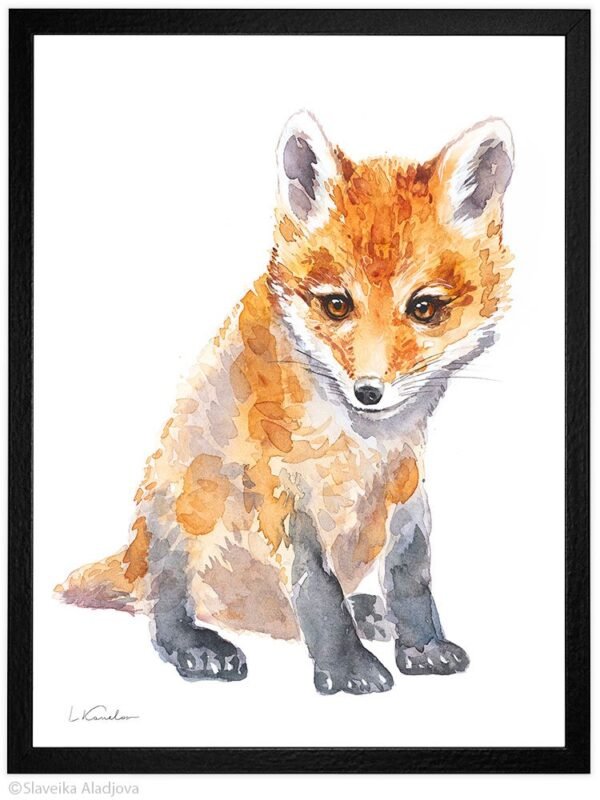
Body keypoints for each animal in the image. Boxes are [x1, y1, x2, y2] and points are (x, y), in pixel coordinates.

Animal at [56, 111, 514, 695]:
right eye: (337, 304)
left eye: (424, 308)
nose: (369, 391)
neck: (358, 443)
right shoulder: (277, 486)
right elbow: (317, 590)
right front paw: (346, 667)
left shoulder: (407, 479)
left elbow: (411, 575)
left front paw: (422, 645)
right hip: (183, 501)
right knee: (166, 608)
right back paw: (197, 645)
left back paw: (368, 613)